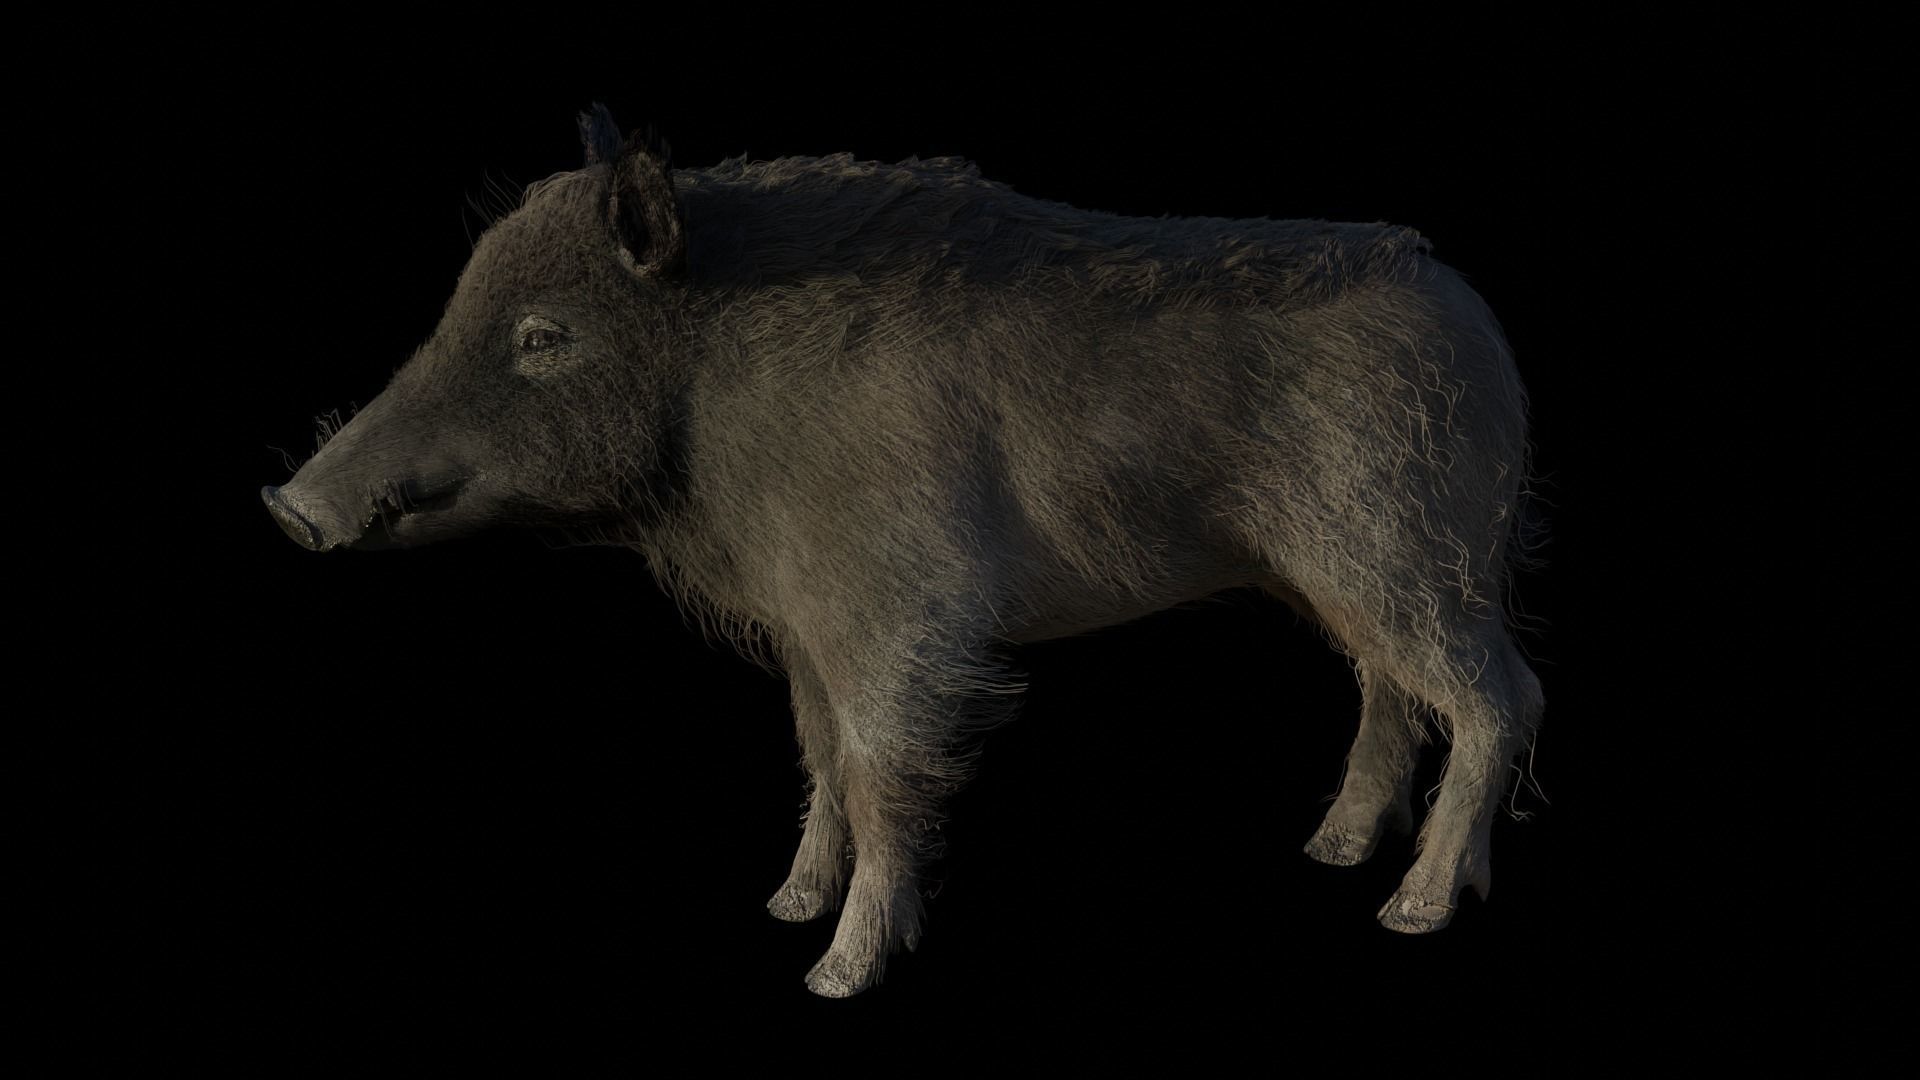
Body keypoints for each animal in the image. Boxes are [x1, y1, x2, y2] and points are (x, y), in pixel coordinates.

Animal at [263, 103, 1546, 998]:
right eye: (459, 307)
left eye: (543, 337)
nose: (289, 506)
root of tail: (1472, 318)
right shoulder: (804, 625)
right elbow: (820, 757)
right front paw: (784, 907)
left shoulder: (899, 616)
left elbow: (883, 772)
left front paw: (830, 975)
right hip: (1344, 573)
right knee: (1389, 689)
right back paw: (1331, 851)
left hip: (1405, 550)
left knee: (1499, 696)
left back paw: (1412, 912)